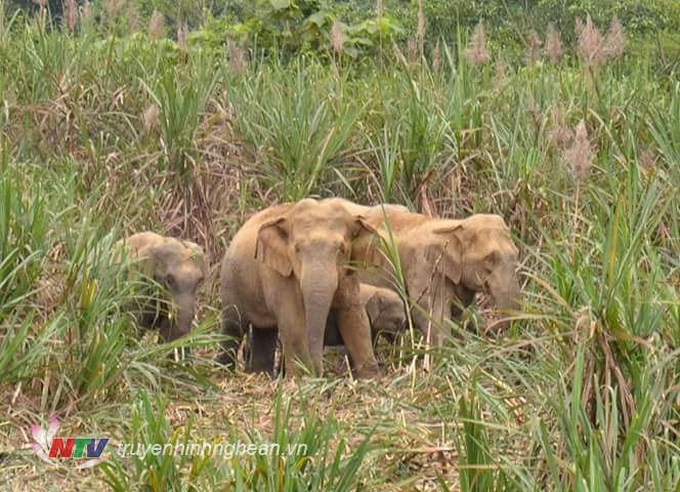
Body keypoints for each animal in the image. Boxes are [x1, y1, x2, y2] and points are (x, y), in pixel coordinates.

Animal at [216, 198, 380, 378]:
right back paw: (221, 371)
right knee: (233, 326)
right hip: (231, 281)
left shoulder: (349, 272)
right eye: (297, 249)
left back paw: (260, 374)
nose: (319, 373)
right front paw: (303, 378)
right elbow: (293, 319)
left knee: (265, 330)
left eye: (342, 249)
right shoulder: (278, 273)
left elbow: (354, 315)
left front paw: (370, 378)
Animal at [348, 209, 524, 346]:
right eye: (489, 259)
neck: (455, 226)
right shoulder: (425, 267)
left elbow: (455, 313)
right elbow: (429, 314)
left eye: (517, 254)